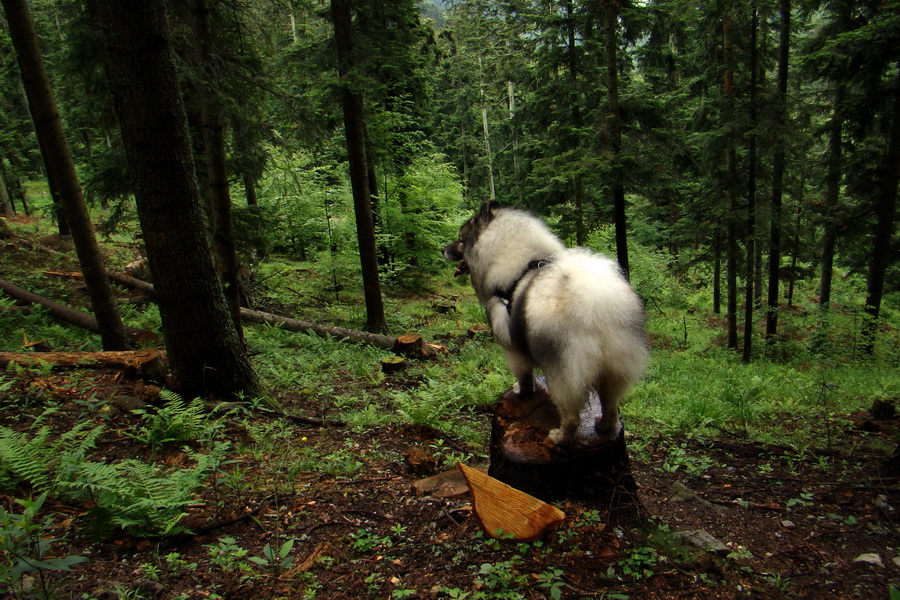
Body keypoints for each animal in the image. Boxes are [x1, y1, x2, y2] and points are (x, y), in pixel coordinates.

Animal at [442, 204, 648, 442]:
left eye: (461, 240)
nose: (442, 249)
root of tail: (596, 305)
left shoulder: (512, 346)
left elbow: (524, 375)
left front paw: (522, 391)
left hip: (563, 371)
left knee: (572, 414)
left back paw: (560, 437)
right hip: (615, 369)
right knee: (611, 405)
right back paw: (604, 427)